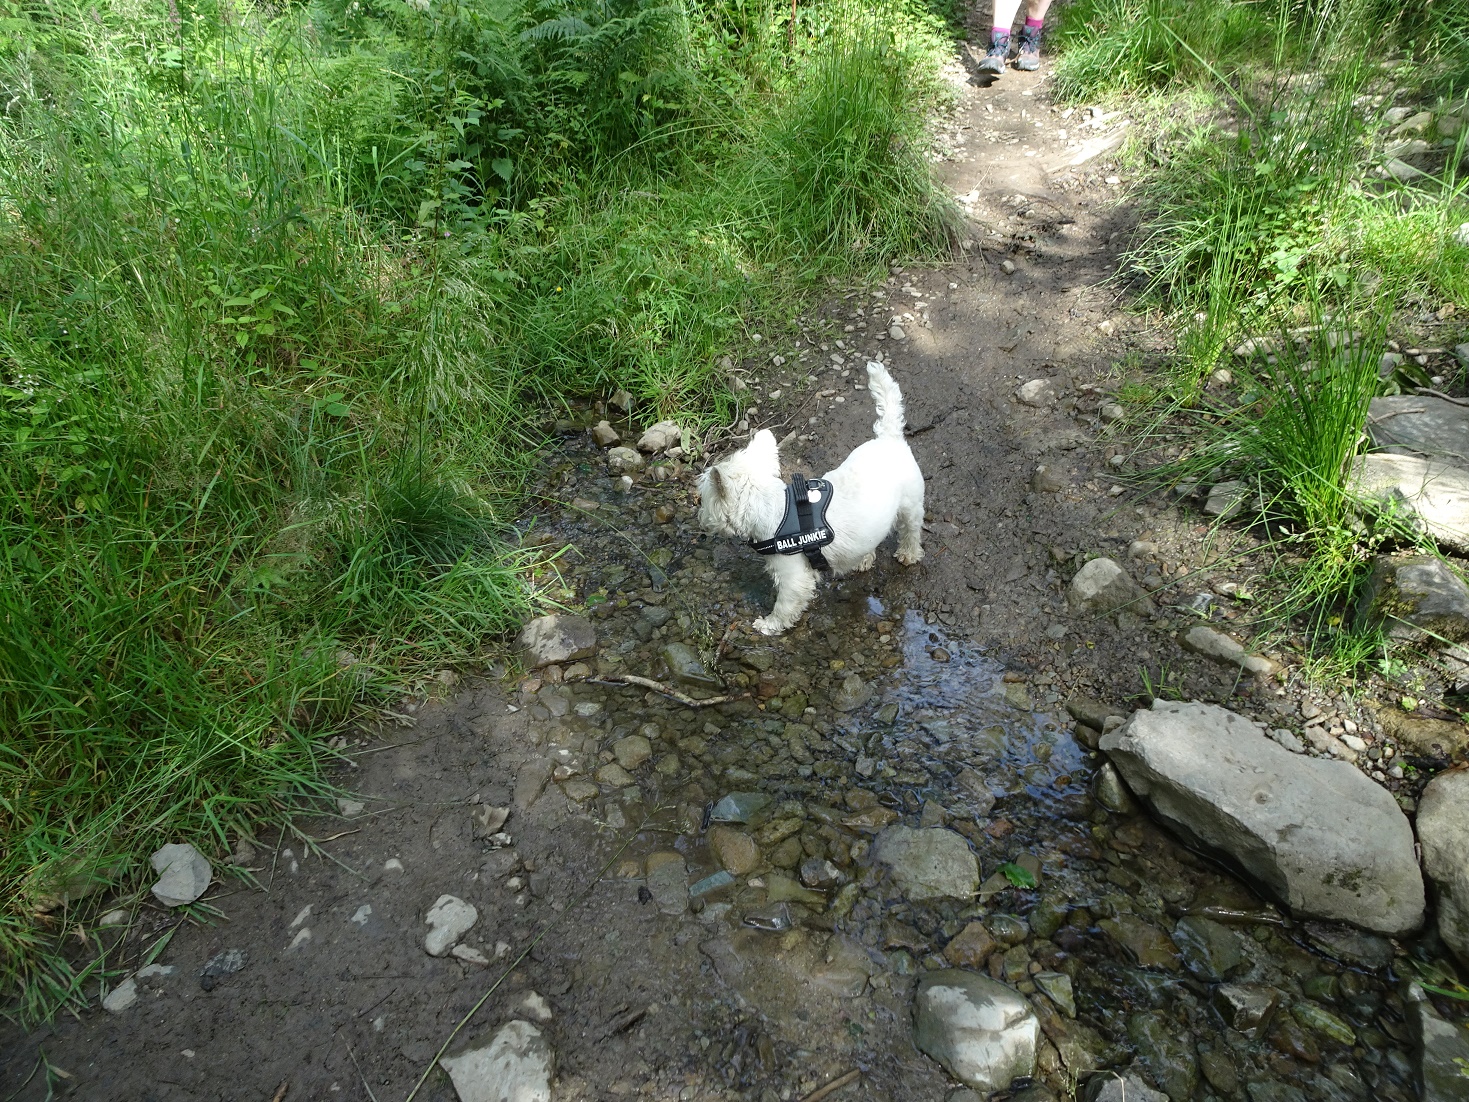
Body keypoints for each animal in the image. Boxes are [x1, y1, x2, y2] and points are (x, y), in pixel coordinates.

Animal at [696, 364, 922, 637]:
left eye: (703, 498)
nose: (700, 519)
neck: (773, 508)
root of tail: (889, 438)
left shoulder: (792, 573)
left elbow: (785, 603)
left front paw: (769, 625)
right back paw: (864, 559)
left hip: (910, 504)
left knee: (911, 530)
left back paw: (908, 554)